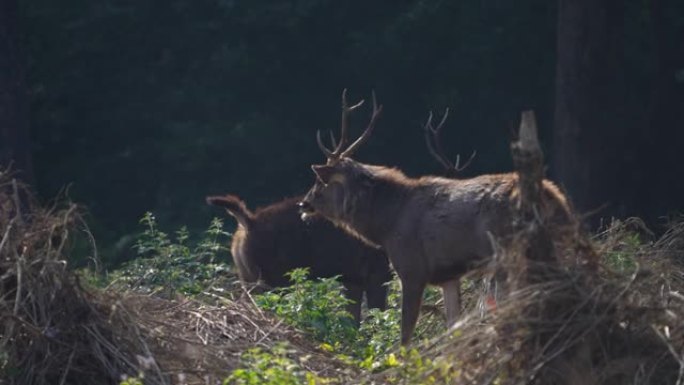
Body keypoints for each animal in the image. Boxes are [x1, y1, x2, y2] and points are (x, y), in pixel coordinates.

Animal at [298, 91, 572, 344]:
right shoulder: (448, 276)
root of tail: (554, 198)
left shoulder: (412, 268)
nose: (304, 203)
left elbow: (406, 332)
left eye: (319, 181)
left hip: (510, 251)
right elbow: (452, 326)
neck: (387, 224)